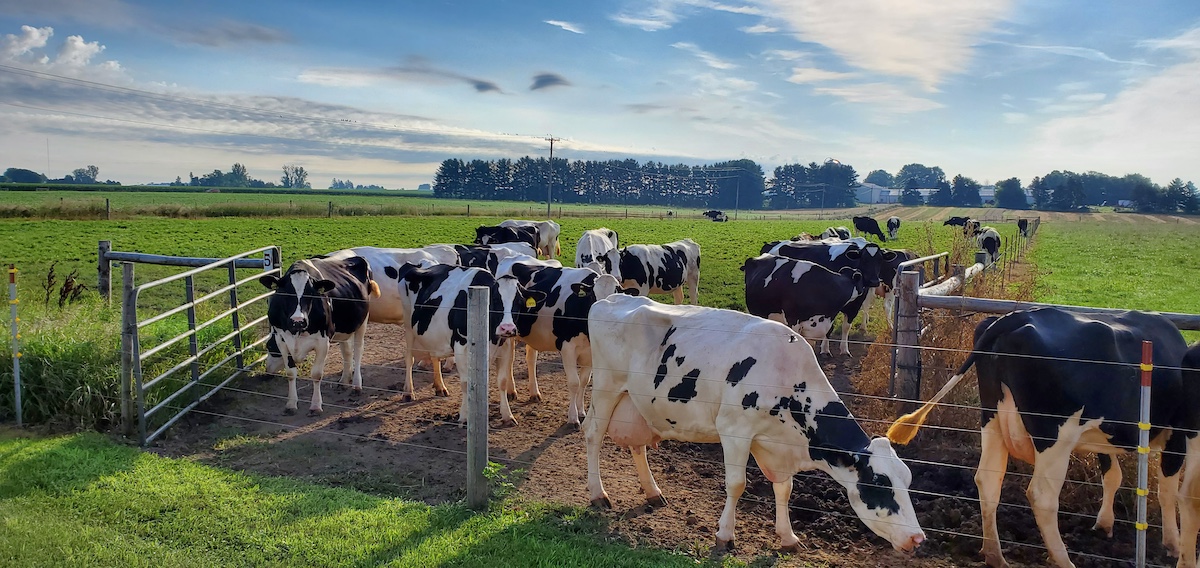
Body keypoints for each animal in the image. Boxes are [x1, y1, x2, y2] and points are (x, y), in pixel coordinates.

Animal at [260, 254, 376, 413]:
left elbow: (316, 374)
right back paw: (344, 381)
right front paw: (291, 404)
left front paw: (315, 405)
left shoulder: (323, 342)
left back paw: (356, 385)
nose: (298, 321)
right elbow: (290, 373)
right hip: (344, 328)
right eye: (285, 292)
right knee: (346, 352)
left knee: (358, 351)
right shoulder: (281, 339)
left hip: (362, 322)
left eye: (311, 293)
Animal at [384, 262, 544, 422]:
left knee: (435, 357)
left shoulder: (504, 346)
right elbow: (466, 382)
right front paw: (465, 416)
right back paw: (408, 392)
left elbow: (502, 382)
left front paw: (507, 415)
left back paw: (440, 387)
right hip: (408, 326)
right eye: (495, 300)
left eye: (519, 302)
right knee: (409, 359)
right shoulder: (460, 346)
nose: (508, 328)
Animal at [496, 262, 624, 422]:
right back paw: (511, 391)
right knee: (510, 361)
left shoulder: (590, 352)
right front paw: (573, 418)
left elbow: (584, 381)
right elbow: (574, 382)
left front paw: (581, 411)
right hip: (508, 334)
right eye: (593, 297)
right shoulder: (567, 348)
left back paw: (534, 393)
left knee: (531, 359)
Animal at [585, 296, 921, 552]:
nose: (918, 538)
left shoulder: (776, 446)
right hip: (605, 388)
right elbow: (737, 484)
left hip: (638, 404)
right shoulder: (734, 431)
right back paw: (598, 494)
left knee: (637, 445)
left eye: (907, 480)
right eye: (879, 484)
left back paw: (652, 491)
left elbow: (784, 489)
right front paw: (725, 535)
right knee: (593, 434)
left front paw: (788, 537)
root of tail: (612, 298)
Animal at [892, 307, 1200, 564]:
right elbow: (1167, 489)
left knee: (988, 481)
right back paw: (1063, 560)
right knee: (1042, 496)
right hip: (1055, 438)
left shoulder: (1105, 434)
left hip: (992, 419)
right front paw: (1172, 543)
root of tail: (1015, 317)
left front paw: (1104, 524)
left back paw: (994, 554)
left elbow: (1112, 476)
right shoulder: (1178, 433)